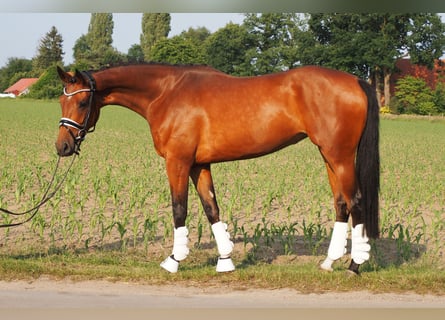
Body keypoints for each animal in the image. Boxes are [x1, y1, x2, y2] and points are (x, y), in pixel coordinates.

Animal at [55, 64, 378, 276]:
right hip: (328, 156)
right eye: (61, 99)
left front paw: (174, 260)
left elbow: (179, 209)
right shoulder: (199, 165)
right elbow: (212, 208)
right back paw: (329, 262)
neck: (166, 92)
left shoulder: (178, 162)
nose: (63, 147)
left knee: (356, 202)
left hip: (340, 157)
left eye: (82, 101)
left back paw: (354, 266)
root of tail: (355, 80)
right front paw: (225, 260)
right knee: (341, 204)